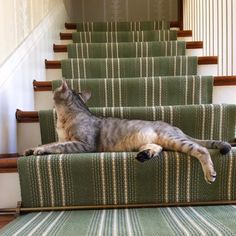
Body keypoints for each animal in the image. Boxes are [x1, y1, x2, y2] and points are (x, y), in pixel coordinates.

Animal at [24, 82, 231, 183]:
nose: (52, 92)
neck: (63, 120)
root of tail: (177, 128)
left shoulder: (83, 144)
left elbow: (58, 146)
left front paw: (40, 150)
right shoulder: (64, 138)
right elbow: (51, 142)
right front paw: (31, 149)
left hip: (172, 138)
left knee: (200, 149)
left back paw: (210, 173)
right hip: (158, 140)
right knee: (158, 147)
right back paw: (145, 155)